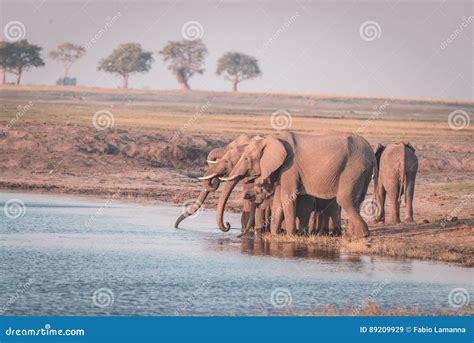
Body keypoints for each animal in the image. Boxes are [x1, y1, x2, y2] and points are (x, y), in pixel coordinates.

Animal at [219, 132, 378, 239]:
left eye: (246, 158)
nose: (227, 226)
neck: (272, 139)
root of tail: (372, 154)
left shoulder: (290, 167)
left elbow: (287, 197)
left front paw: (290, 235)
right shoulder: (282, 169)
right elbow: (279, 200)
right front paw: (275, 235)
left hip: (353, 168)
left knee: (344, 199)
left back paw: (361, 235)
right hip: (361, 171)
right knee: (357, 199)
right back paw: (354, 234)